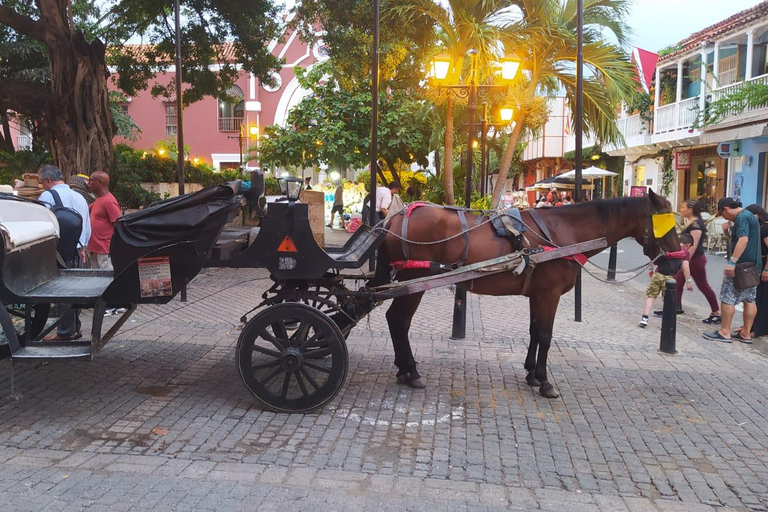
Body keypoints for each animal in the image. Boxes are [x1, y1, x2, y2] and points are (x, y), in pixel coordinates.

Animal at [372, 190, 680, 398]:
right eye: (666, 224)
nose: (676, 263)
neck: (565, 232)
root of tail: (396, 219)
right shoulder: (550, 294)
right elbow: (545, 335)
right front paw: (544, 381)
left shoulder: (538, 294)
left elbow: (534, 332)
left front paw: (531, 373)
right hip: (415, 282)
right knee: (399, 321)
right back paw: (411, 371)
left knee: (395, 320)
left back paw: (404, 369)